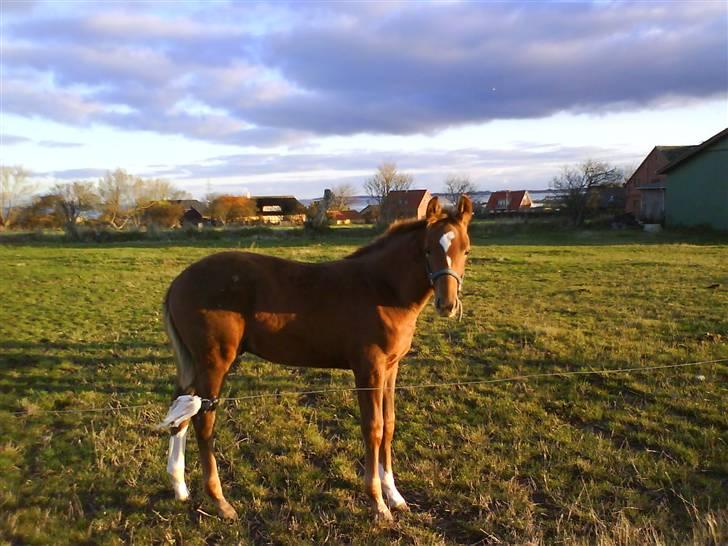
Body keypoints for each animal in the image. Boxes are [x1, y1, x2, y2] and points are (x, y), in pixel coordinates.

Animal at [159, 194, 474, 520]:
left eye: (466, 250)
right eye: (428, 250)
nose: (447, 304)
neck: (382, 289)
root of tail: (178, 282)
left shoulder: (390, 368)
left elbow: (389, 424)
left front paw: (395, 496)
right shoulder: (369, 369)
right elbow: (373, 428)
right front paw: (378, 504)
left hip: (196, 363)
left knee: (182, 410)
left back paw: (180, 487)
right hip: (215, 361)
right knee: (203, 420)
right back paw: (220, 500)